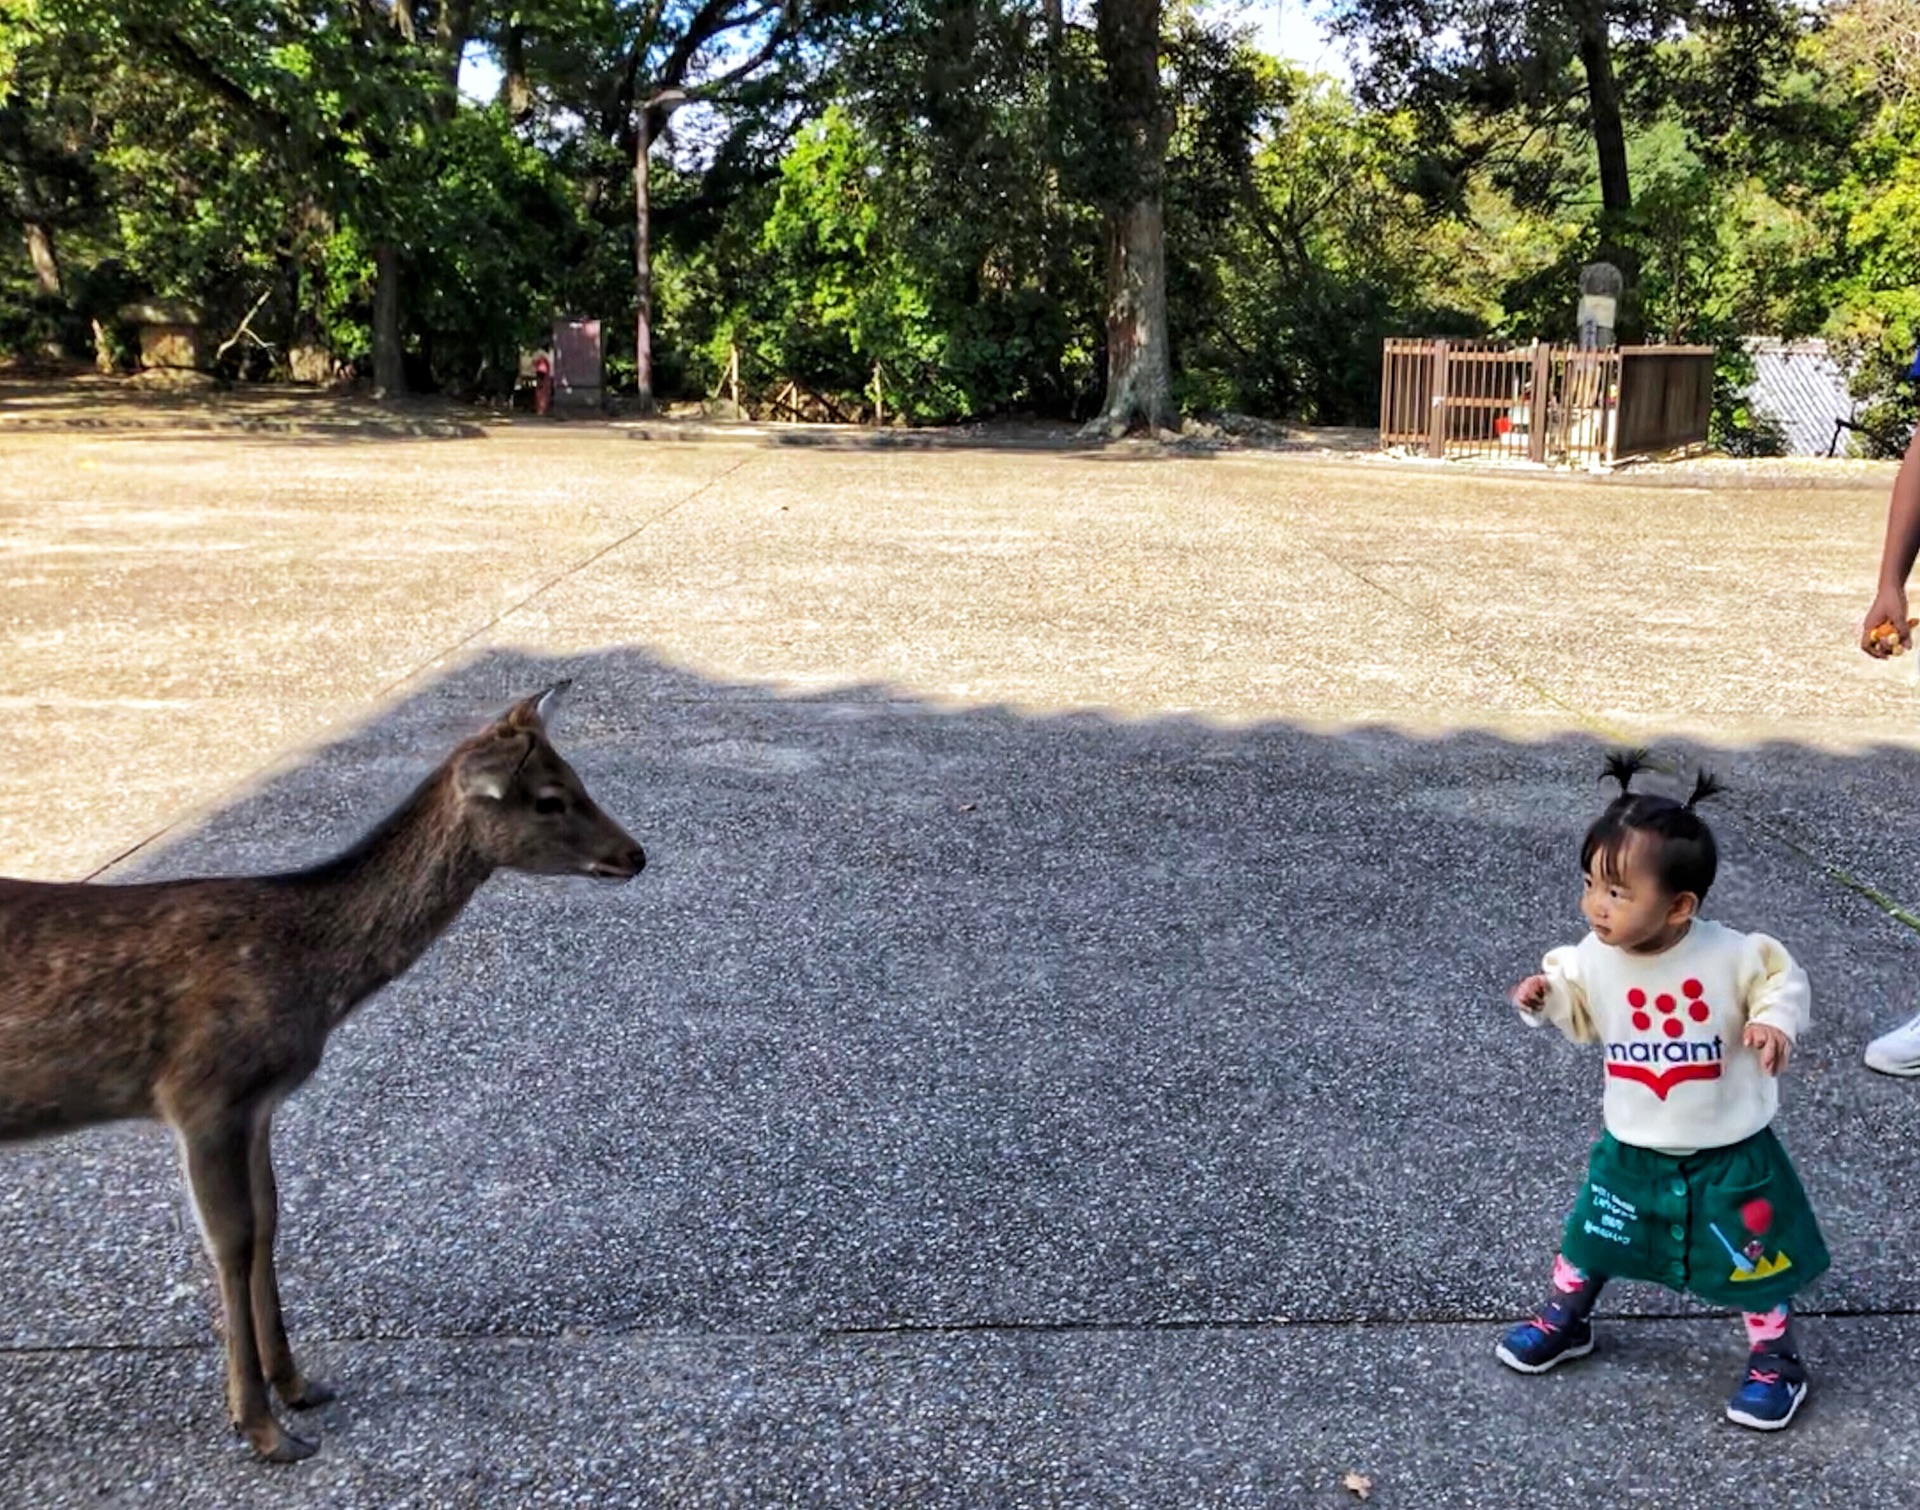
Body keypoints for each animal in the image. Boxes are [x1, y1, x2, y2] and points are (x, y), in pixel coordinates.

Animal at [0, 683, 645, 1460]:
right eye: (551, 799)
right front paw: (261, 1426)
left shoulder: (258, 1104)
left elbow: (269, 1221)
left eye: (576, 777)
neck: (306, 978)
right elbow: (230, 1242)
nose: (636, 854)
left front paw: (298, 1384)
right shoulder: (203, 1092)